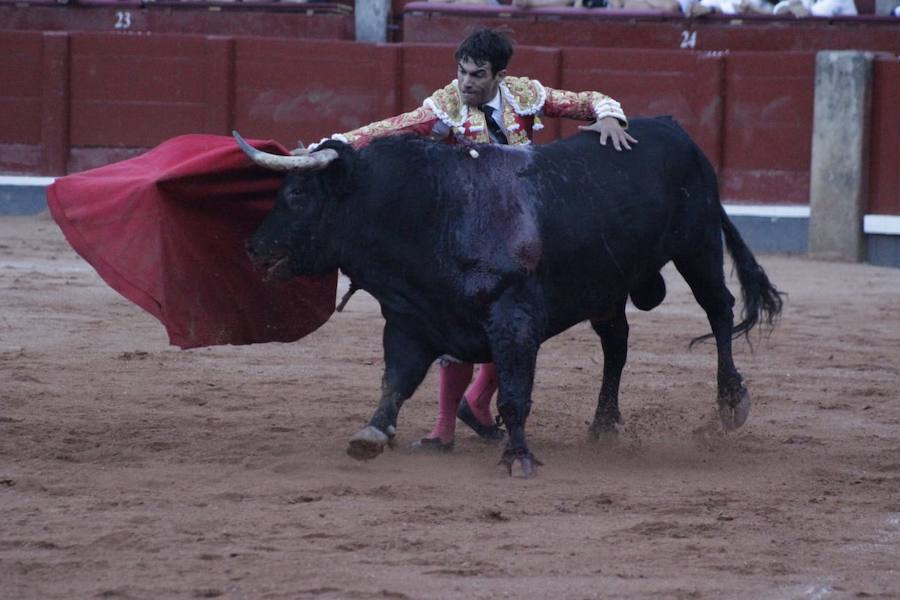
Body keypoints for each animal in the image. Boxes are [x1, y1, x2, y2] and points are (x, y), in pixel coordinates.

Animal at [237, 115, 780, 476]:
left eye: (297, 195)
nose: (255, 249)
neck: (430, 208)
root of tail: (677, 130)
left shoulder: (513, 319)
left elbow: (516, 393)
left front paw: (518, 457)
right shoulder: (413, 318)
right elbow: (396, 380)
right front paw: (371, 434)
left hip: (698, 245)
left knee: (718, 310)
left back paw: (731, 404)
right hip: (608, 284)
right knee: (616, 344)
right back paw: (604, 425)